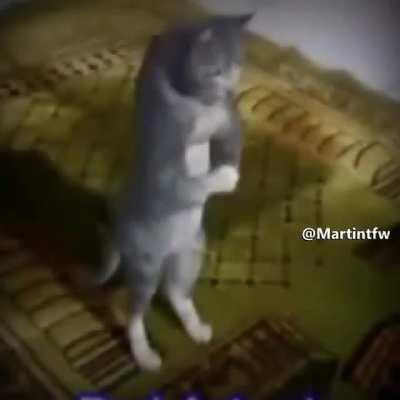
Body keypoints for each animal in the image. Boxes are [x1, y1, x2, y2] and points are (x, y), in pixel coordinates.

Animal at [96, 14, 252, 371]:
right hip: (145, 265)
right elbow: (185, 182)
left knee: (176, 292)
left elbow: (233, 141)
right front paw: (225, 178)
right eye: (217, 70)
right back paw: (145, 355)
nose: (232, 89)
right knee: (134, 311)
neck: (197, 101)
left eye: (238, 65)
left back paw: (195, 328)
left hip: (191, 252)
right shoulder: (162, 162)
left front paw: (231, 170)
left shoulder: (228, 121)